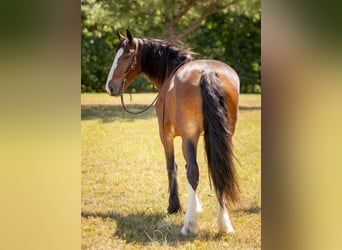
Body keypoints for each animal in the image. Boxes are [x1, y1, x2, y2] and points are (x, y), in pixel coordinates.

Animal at [105, 30, 239, 235]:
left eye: (127, 56)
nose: (110, 86)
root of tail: (207, 72)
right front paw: (195, 206)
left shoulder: (166, 136)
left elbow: (172, 167)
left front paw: (174, 206)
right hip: (224, 135)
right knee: (220, 168)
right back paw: (224, 223)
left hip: (189, 137)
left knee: (193, 171)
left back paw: (190, 225)